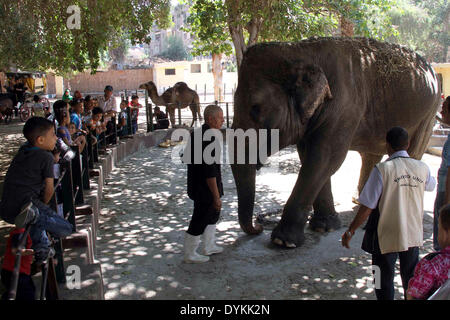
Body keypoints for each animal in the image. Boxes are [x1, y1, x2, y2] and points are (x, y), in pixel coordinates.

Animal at [230, 37, 442, 248]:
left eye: (256, 109)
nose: (258, 226)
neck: (299, 50)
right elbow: (311, 156)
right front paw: (323, 226)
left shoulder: (345, 105)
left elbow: (325, 157)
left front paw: (283, 241)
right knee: (371, 156)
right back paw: (363, 203)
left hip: (429, 114)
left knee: (413, 153)